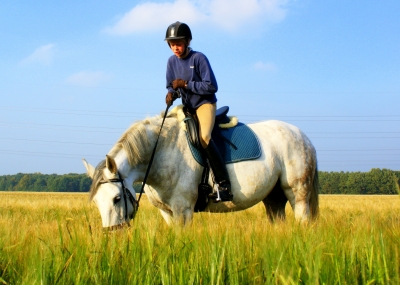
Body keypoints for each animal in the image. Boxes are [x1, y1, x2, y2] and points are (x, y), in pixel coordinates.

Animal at [82, 106, 318, 229]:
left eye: (117, 198)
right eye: (96, 201)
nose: (113, 233)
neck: (160, 151)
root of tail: (304, 137)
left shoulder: (183, 210)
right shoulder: (167, 212)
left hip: (297, 193)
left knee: (303, 219)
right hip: (273, 198)